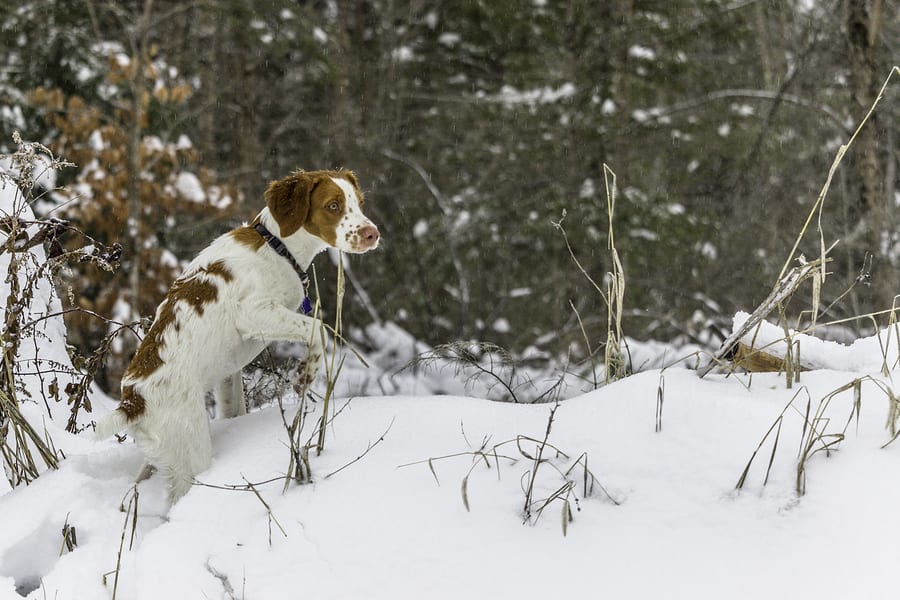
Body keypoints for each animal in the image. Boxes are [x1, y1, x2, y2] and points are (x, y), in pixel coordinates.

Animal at [96, 169, 380, 502]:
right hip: (190, 450)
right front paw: (304, 376)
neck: (276, 247)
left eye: (359, 203)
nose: (372, 234)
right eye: (333, 206)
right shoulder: (253, 312)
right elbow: (318, 329)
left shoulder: (228, 374)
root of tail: (133, 401)